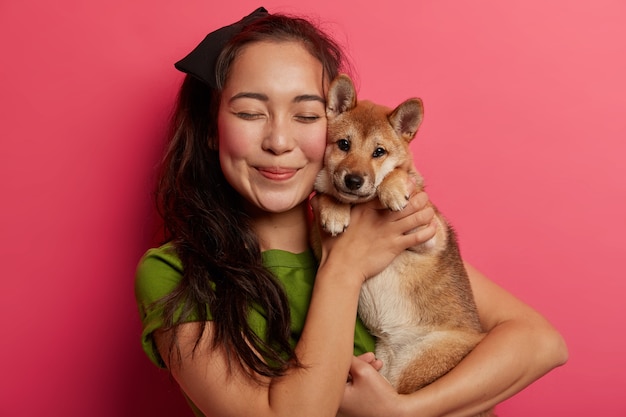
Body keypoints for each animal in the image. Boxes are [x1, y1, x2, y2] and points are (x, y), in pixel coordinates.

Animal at [314, 75, 490, 416]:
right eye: (343, 145)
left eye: (379, 152)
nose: (353, 180)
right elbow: (326, 197)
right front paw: (334, 210)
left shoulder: (430, 233)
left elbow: (395, 175)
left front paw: (393, 189)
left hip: (418, 367)